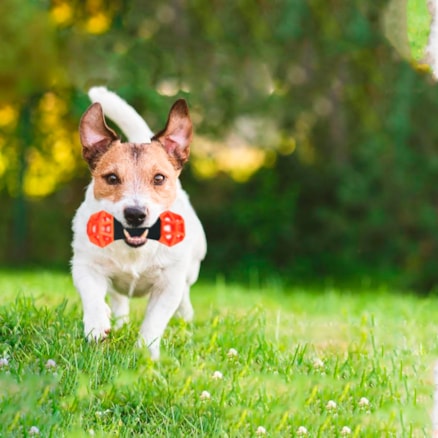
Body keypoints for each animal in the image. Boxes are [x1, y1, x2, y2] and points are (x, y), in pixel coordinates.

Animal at [71, 87, 207, 362]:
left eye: (159, 178)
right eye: (112, 178)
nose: (135, 214)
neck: (133, 247)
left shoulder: (169, 284)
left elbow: (154, 321)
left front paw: (146, 352)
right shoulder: (84, 265)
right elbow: (91, 294)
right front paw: (96, 324)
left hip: (191, 270)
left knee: (185, 298)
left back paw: (185, 321)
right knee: (117, 298)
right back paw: (117, 320)